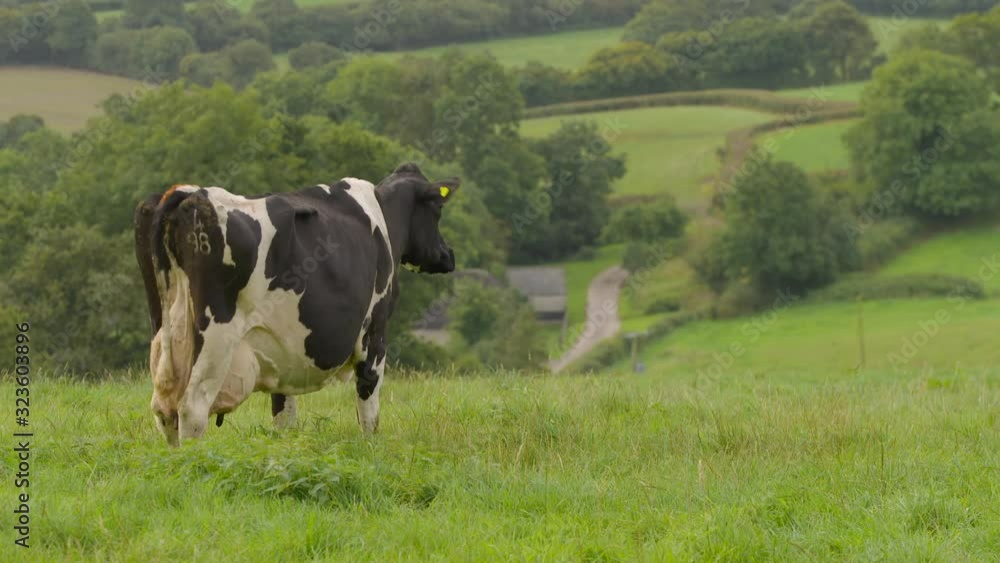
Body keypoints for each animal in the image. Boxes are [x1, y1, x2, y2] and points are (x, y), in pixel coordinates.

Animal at [133, 163, 459, 446]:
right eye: (438, 209)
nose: (449, 255)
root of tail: (188, 193)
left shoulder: (280, 350)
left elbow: (284, 415)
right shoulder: (375, 332)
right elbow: (369, 408)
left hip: (165, 332)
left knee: (165, 411)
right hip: (215, 337)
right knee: (191, 409)